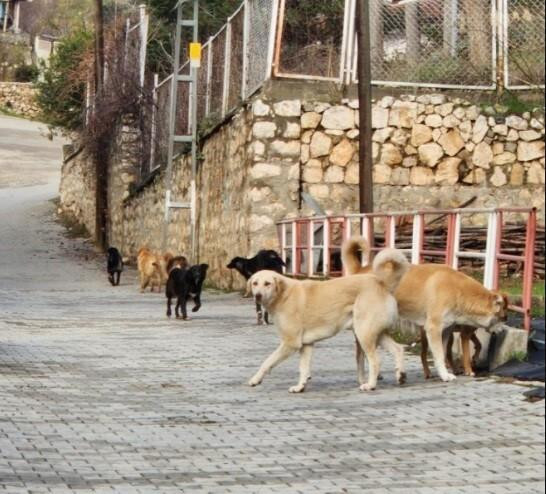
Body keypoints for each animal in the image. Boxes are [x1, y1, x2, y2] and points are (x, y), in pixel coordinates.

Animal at [246, 249, 408, 392]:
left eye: (267, 283)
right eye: (255, 283)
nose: (257, 296)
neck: (283, 294)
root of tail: (382, 283)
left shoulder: (290, 343)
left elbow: (268, 361)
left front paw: (255, 380)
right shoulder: (306, 345)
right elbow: (303, 369)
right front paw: (300, 387)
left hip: (364, 335)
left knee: (375, 361)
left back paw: (370, 385)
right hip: (373, 334)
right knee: (398, 348)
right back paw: (400, 376)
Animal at [342, 235, 508, 382]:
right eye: (503, 318)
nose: (502, 332)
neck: (458, 290)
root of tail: (360, 270)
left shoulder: (445, 331)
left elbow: (442, 354)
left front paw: (444, 372)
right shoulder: (433, 328)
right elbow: (439, 355)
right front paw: (445, 376)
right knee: (361, 354)